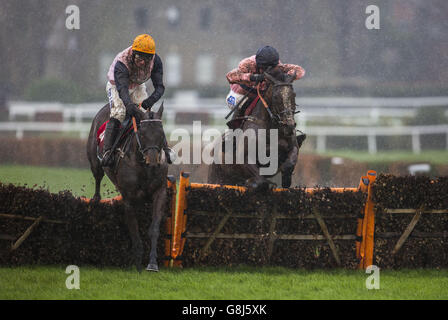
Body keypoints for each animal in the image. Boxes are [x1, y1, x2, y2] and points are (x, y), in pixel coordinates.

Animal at [86, 104, 168, 272]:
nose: (153, 162)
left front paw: (152, 263)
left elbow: (154, 228)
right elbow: (134, 230)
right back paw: (96, 199)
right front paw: (137, 263)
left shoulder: (160, 192)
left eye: (161, 133)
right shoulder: (129, 198)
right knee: (97, 176)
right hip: (95, 160)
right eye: (142, 134)